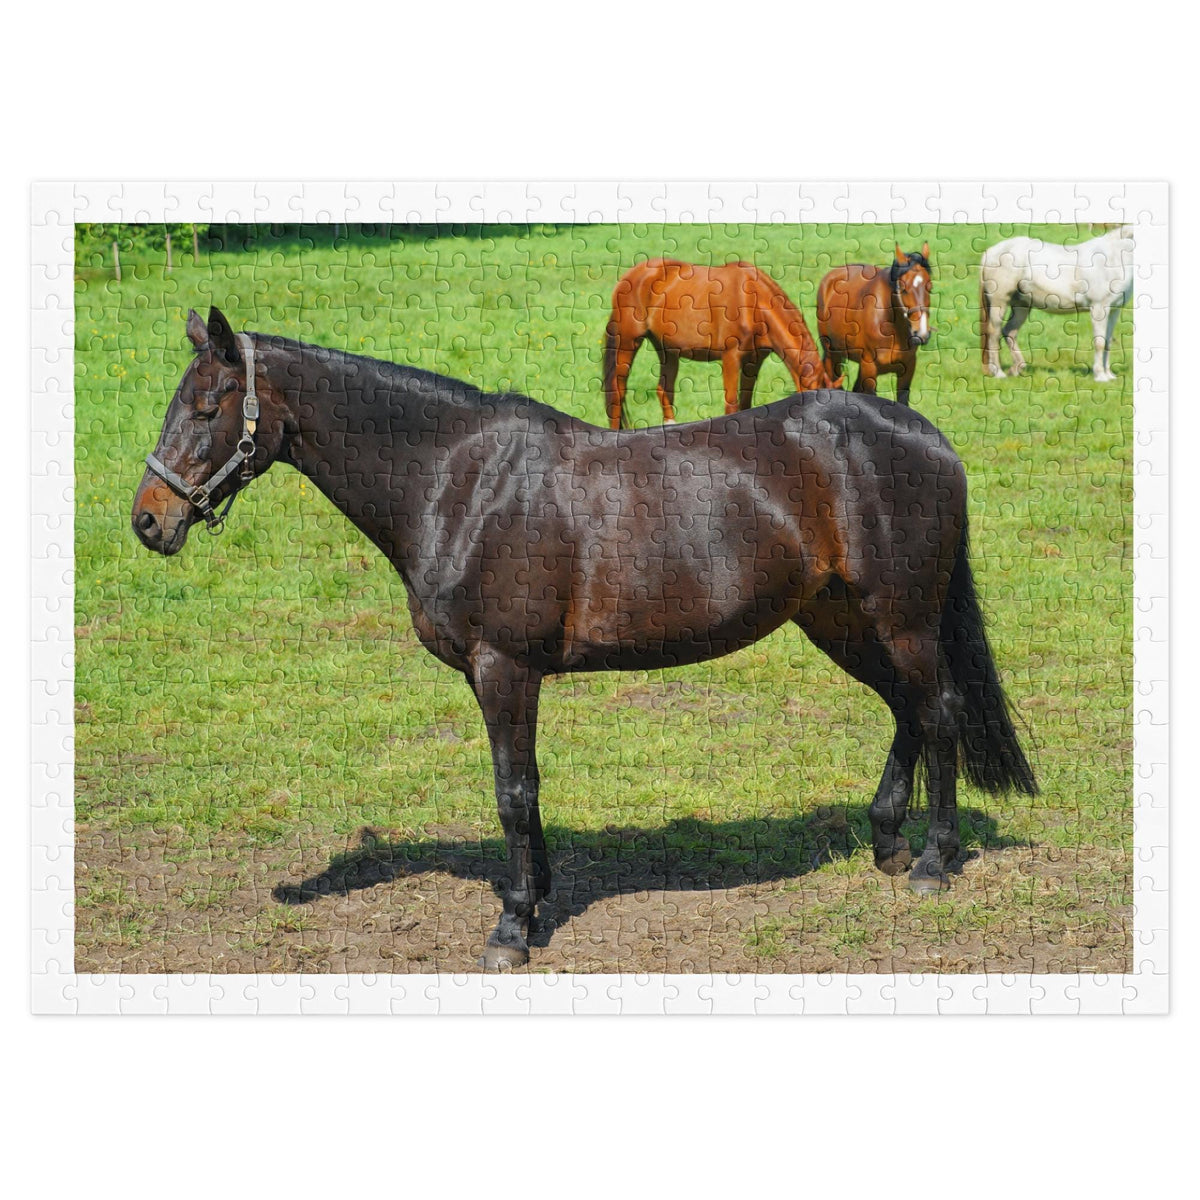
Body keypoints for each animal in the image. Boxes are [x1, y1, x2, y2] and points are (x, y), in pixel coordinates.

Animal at [133, 307, 1037, 970]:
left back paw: (931, 864)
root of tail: (923, 435)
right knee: (908, 710)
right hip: (839, 619)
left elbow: (512, 792)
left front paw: (511, 929)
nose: (150, 520)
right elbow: (527, 791)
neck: (456, 479)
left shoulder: (503, 668)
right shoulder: (511, 674)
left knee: (940, 711)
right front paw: (534, 904)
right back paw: (887, 842)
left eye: (209, 405)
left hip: (901, 617)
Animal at [602, 258, 838, 429]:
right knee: (617, 392)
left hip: (666, 348)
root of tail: (631, 276)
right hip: (628, 341)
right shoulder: (731, 357)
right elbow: (731, 406)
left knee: (664, 390)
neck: (753, 301)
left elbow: (745, 404)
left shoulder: (754, 361)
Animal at [817, 244, 933, 406]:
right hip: (832, 354)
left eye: (930, 287)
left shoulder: (908, 367)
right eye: (903, 288)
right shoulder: (869, 368)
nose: (921, 334)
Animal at [979, 225, 1134, 382]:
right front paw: (1100, 376)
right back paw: (999, 373)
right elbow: (1100, 343)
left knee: (1009, 331)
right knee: (994, 333)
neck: (1113, 257)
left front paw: (1109, 375)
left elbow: (1108, 341)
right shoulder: (1099, 308)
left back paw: (1016, 369)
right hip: (1000, 302)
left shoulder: (1114, 309)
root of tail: (991, 252)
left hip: (1021, 305)